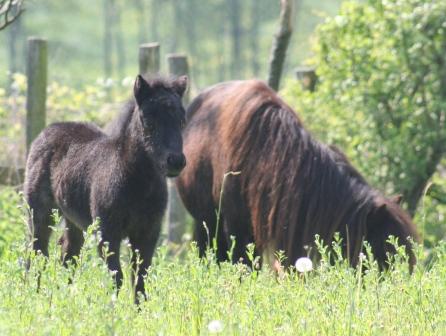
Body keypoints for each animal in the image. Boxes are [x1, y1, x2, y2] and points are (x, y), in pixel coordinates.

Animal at [24, 74, 188, 296]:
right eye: (148, 120)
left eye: (182, 120)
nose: (176, 161)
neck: (138, 185)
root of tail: (46, 131)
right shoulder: (107, 232)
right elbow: (116, 276)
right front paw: (113, 305)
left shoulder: (148, 233)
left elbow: (140, 278)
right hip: (40, 211)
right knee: (36, 252)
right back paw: (34, 293)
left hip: (73, 219)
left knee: (68, 254)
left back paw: (65, 294)